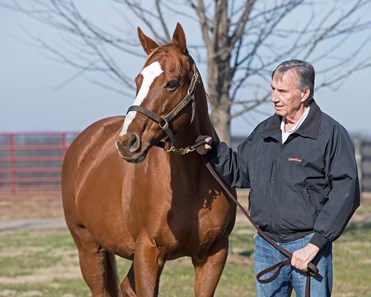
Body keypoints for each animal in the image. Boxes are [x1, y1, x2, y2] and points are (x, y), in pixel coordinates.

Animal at [60, 23, 235, 296]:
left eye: (172, 83)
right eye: (138, 80)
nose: (126, 141)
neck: (189, 184)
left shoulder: (213, 255)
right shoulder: (148, 254)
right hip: (89, 248)